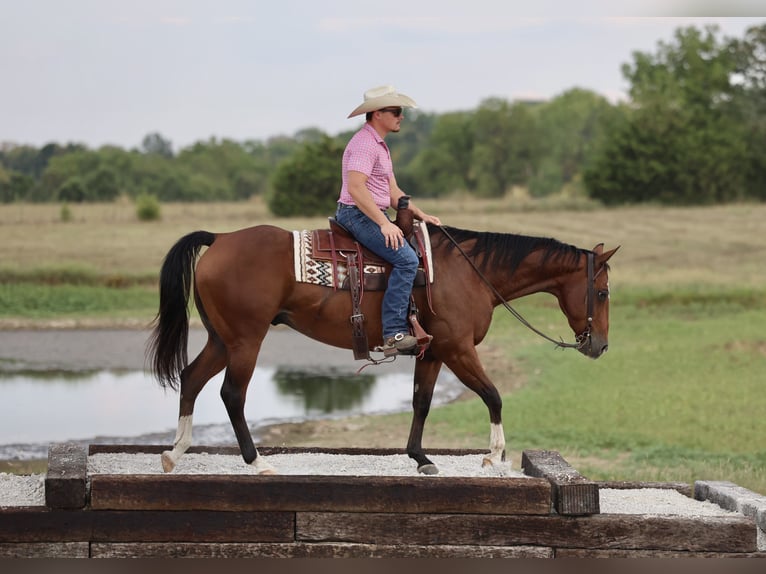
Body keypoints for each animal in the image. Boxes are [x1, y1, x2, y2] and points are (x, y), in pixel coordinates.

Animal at [147, 219, 618, 475]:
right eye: (601, 293)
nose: (600, 345)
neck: (469, 273)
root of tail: (221, 238)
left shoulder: (433, 352)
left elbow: (421, 402)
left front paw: (420, 458)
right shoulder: (458, 349)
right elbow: (493, 395)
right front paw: (495, 456)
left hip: (221, 339)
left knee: (191, 378)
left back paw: (175, 453)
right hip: (246, 339)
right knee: (232, 394)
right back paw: (255, 461)